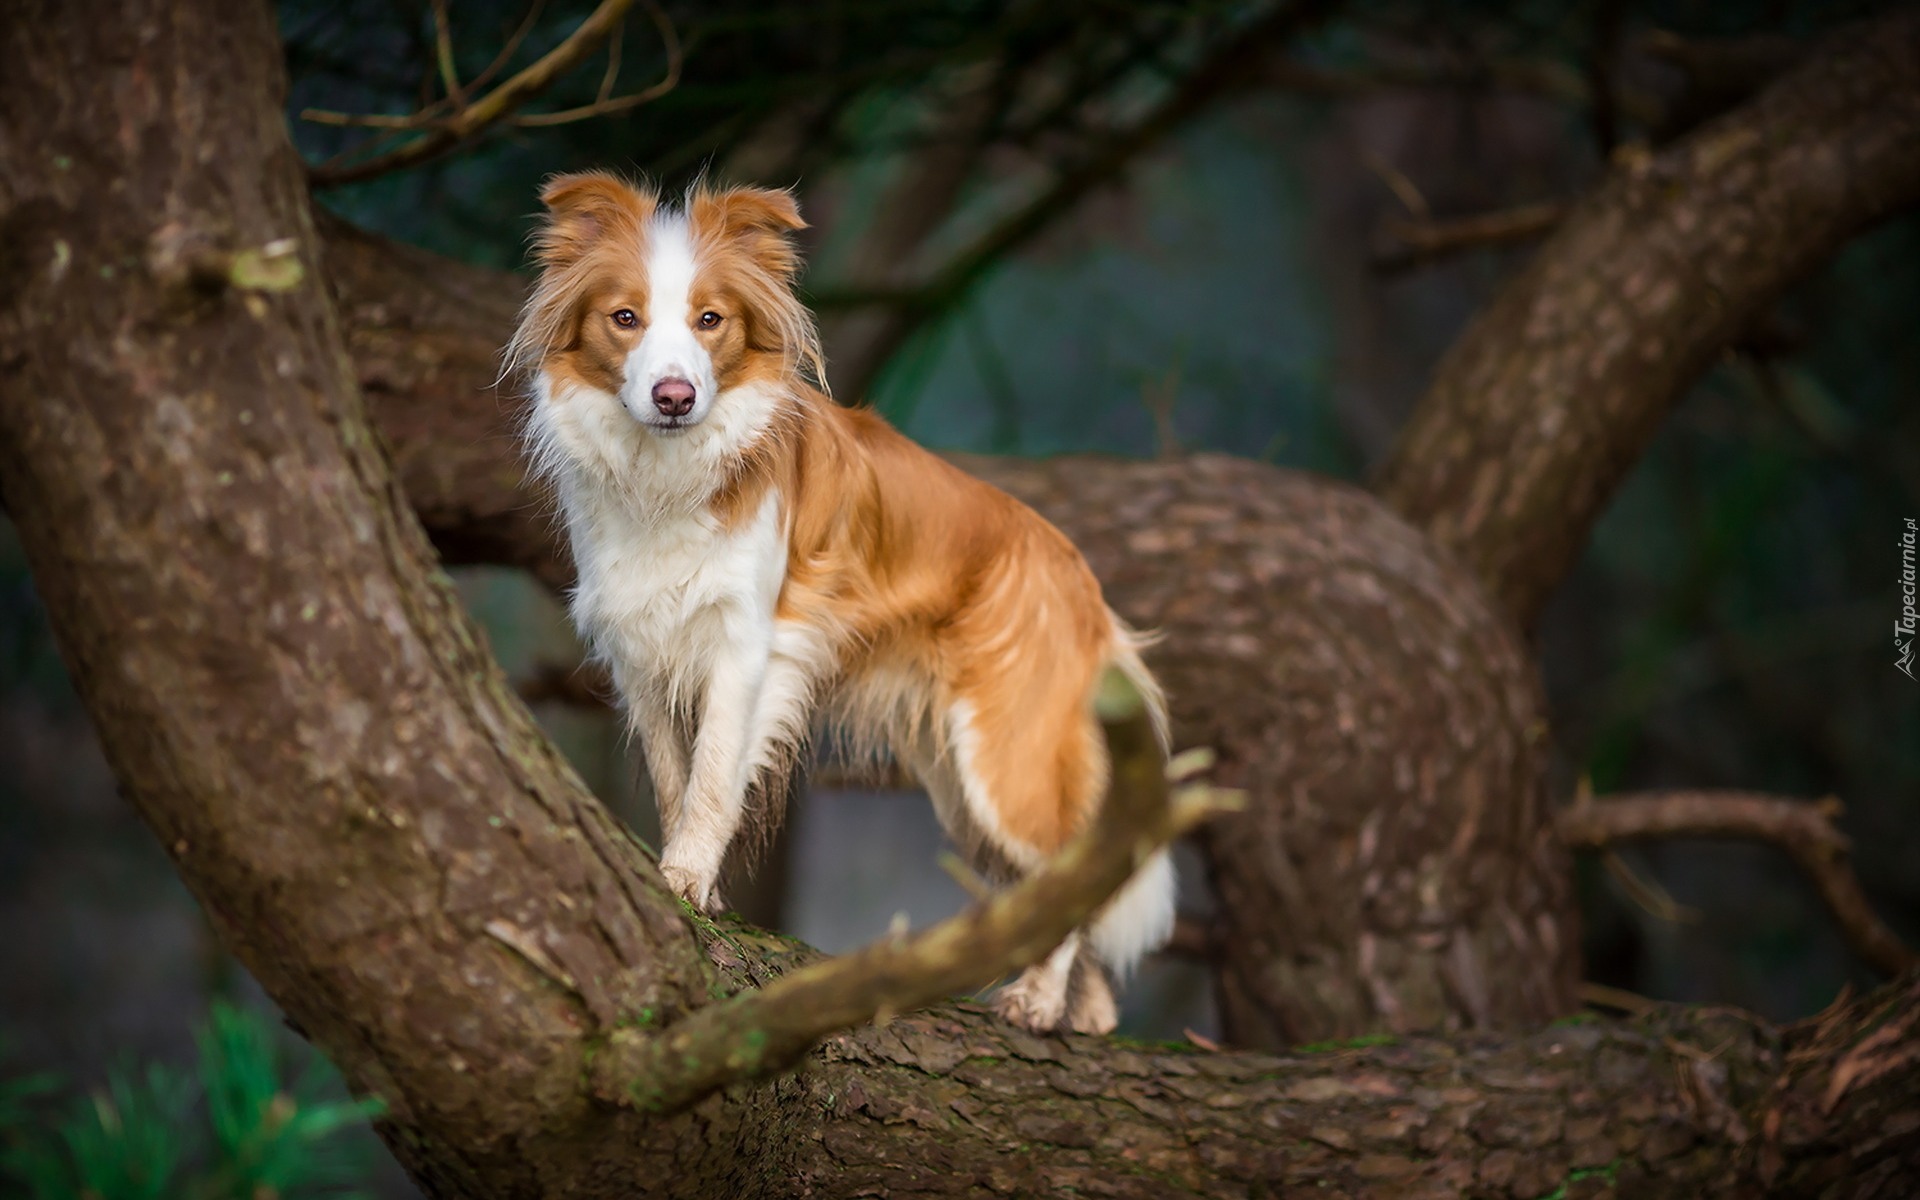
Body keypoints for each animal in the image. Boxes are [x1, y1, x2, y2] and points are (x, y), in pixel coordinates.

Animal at [510, 172, 1167, 1036]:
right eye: (625, 318)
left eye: (710, 320)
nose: (675, 396)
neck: (670, 473)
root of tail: (1081, 581)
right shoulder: (643, 657)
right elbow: (674, 778)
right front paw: (695, 889)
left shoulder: (746, 649)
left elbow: (714, 779)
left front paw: (685, 881)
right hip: (958, 786)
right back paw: (1085, 1009)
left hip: (1004, 762)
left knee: (1069, 867)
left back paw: (1037, 1000)